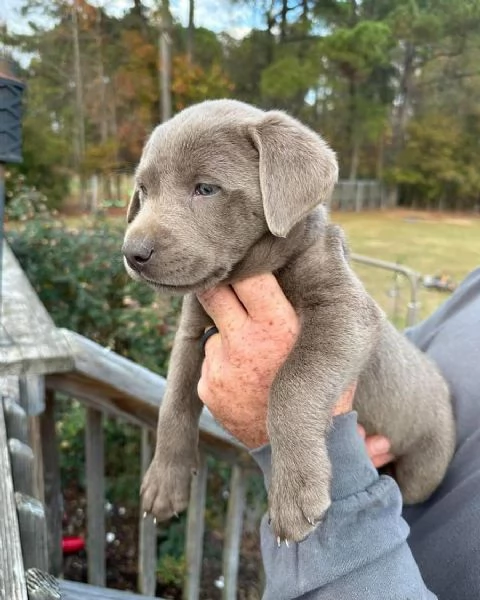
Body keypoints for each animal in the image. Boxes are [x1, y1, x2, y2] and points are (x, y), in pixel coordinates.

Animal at [122, 99, 456, 544]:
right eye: (143, 190)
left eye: (206, 188)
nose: (132, 252)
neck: (251, 272)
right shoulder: (193, 331)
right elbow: (174, 400)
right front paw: (163, 483)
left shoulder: (347, 310)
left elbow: (292, 386)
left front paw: (295, 495)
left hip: (427, 463)